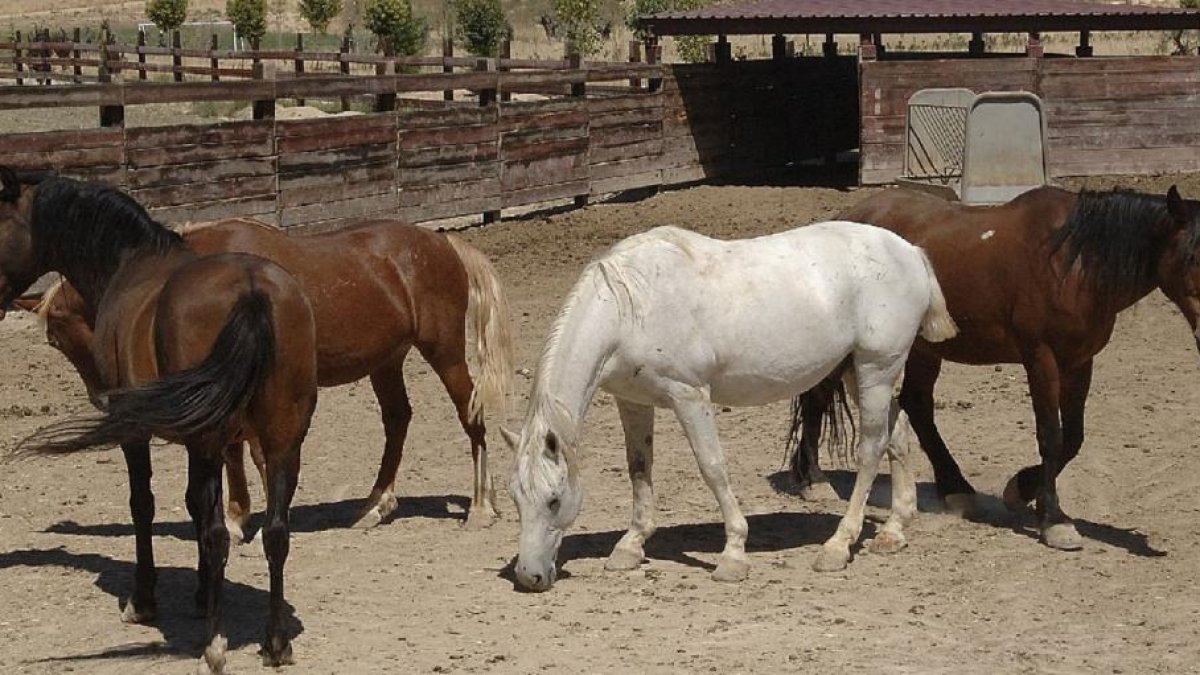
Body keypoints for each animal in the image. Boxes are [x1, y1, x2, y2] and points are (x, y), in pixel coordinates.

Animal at [0, 166, 318, 671]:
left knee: (218, 534)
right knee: (276, 533)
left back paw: (215, 645)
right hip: (283, 441)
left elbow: (144, 505)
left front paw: (144, 600)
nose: (97, 394)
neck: (132, 261)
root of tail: (252, 290)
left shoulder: (137, 431)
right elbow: (193, 505)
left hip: (213, 440)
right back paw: (276, 643)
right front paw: (202, 592)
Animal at [15, 214, 515, 535]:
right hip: (386, 361)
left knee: (470, 414)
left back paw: (479, 506)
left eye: (56, 337)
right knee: (397, 420)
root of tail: (442, 244)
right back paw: (376, 505)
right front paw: (238, 516)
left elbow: (253, 452)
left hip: (443, 350)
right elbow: (233, 452)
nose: (104, 398)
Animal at [503, 222, 958, 591]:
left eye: (554, 500)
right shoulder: (632, 401)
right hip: (855, 371)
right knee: (897, 434)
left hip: (875, 369)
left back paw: (837, 547)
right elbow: (639, 468)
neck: (631, 306)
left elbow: (712, 467)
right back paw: (894, 532)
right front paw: (630, 547)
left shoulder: (689, 396)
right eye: (515, 499)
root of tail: (910, 250)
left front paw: (733, 555)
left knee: (870, 450)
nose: (530, 577)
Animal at [790, 185, 1200, 552]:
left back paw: (955, 488)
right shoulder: (1041, 358)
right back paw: (814, 480)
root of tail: (850, 216)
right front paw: (1053, 519)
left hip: (924, 348)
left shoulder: (1079, 362)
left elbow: (1073, 438)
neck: (1073, 264)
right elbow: (1051, 435)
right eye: (1190, 260)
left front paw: (1024, 490)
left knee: (918, 404)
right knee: (817, 397)